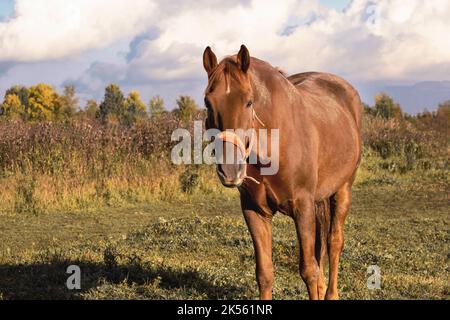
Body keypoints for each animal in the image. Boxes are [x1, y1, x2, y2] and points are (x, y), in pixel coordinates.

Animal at [203, 43, 362, 298]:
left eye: (249, 102)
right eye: (208, 102)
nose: (230, 170)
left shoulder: (302, 206)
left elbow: (308, 270)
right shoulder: (254, 210)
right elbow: (265, 272)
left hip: (342, 190)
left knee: (334, 242)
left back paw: (331, 293)